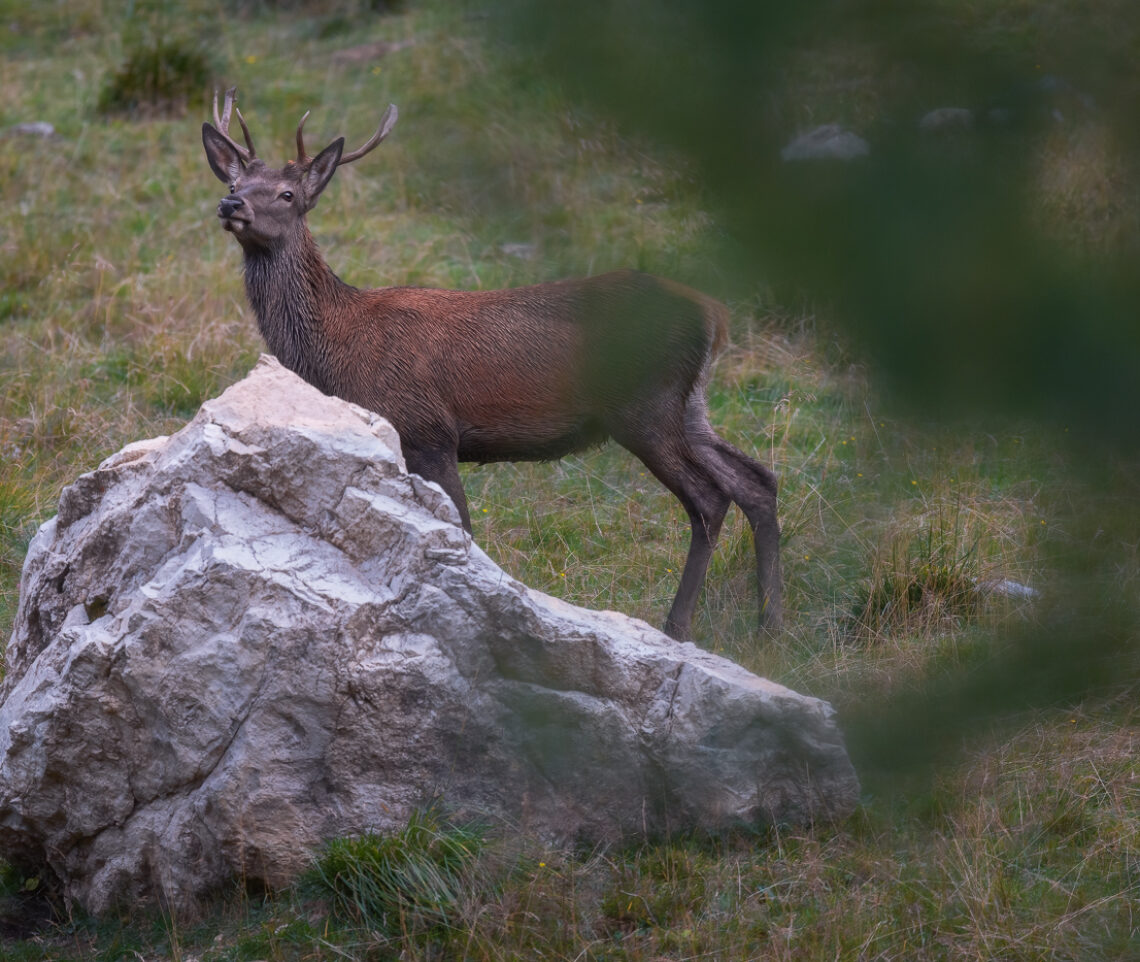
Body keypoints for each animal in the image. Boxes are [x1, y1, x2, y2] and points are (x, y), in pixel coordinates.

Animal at [200, 88, 779, 638]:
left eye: (287, 194)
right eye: (237, 178)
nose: (230, 203)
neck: (334, 348)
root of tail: (714, 314)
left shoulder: (427, 430)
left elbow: (463, 528)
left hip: (644, 405)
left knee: (710, 498)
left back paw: (679, 627)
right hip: (690, 403)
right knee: (756, 480)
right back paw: (767, 624)